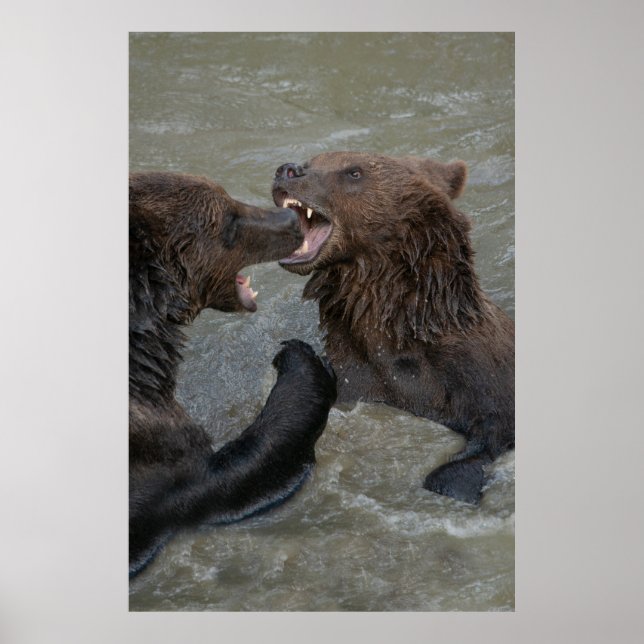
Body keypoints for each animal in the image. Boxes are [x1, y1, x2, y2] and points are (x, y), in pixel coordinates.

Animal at [129, 172, 337, 577]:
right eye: (228, 219)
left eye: (227, 198)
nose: (289, 220)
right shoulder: (156, 466)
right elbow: (238, 472)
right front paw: (296, 357)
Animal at [271, 152, 514, 504]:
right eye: (313, 160)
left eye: (353, 172)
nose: (287, 170)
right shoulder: (356, 375)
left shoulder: (480, 376)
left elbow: (491, 432)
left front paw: (450, 481)